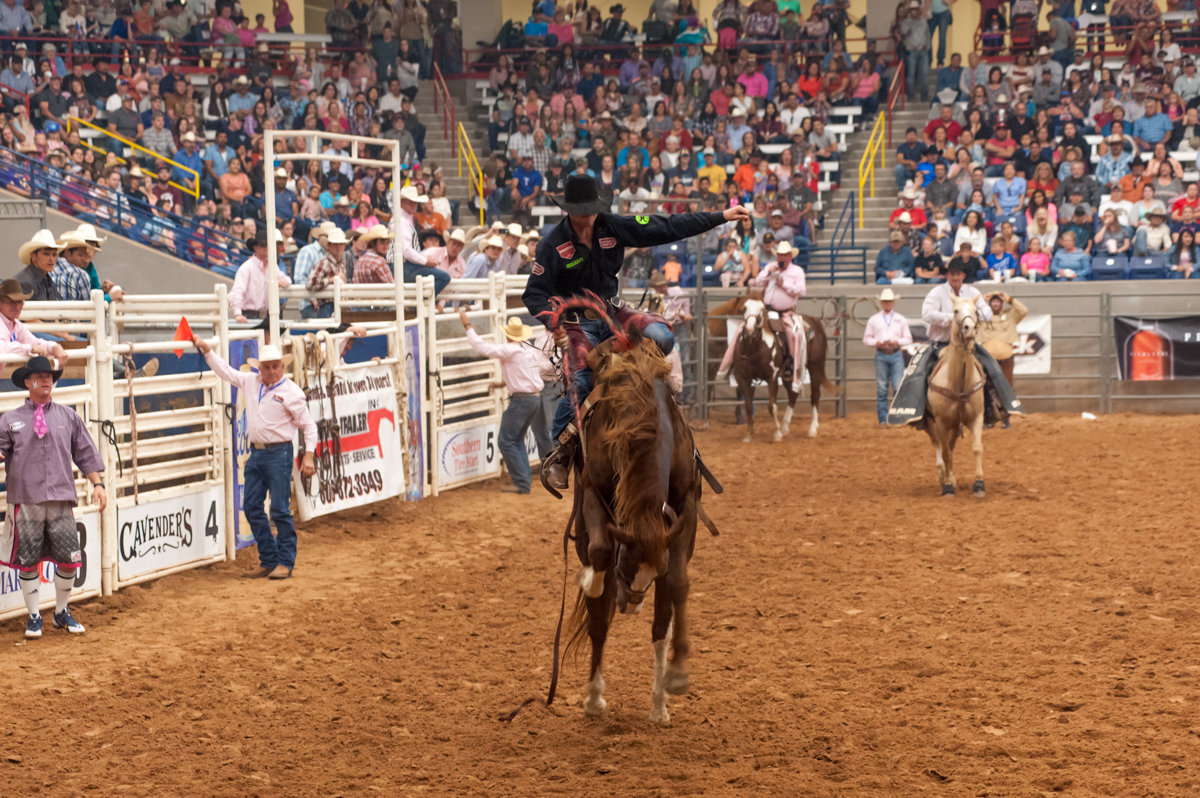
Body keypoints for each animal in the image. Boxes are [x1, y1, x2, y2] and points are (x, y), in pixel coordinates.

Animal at [705, 295, 840, 439]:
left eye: (761, 311)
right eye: (744, 309)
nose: (750, 330)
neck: (755, 348)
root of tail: (814, 321)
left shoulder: (772, 377)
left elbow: (772, 406)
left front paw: (777, 433)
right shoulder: (743, 378)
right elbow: (748, 405)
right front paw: (749, 434)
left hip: (815, 366)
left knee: (815, 394)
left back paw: (812, 429)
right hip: (789, 373)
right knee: (793, 394)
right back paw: (785, 426)